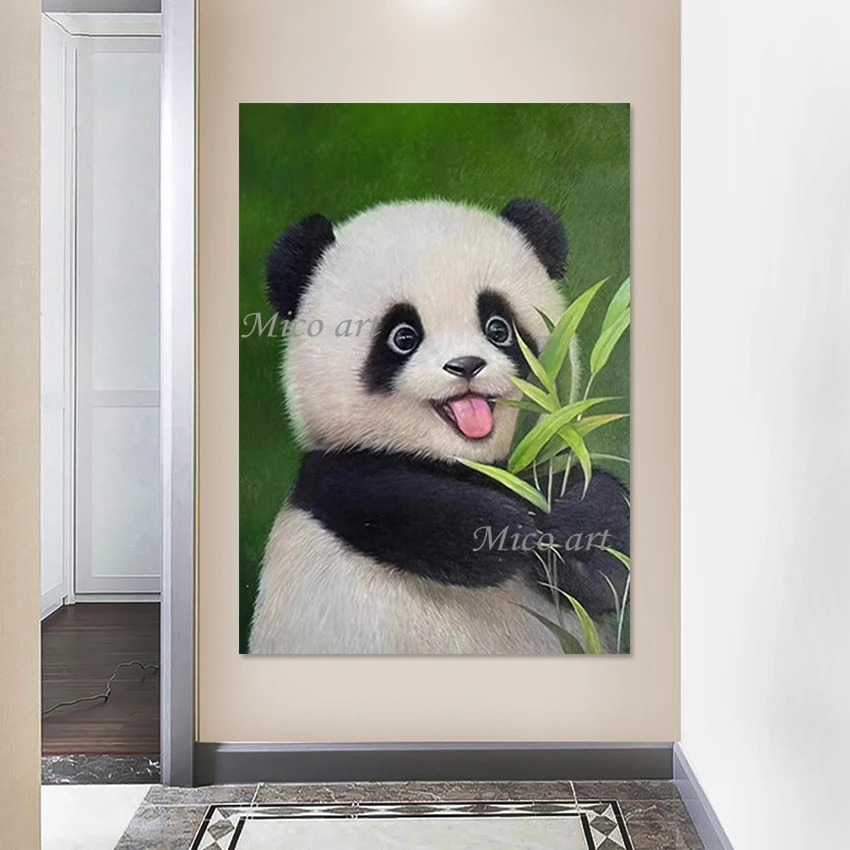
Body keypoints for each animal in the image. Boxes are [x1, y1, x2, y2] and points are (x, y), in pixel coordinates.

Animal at [248, 198, 629, 655]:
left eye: (498, 327)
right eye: (403, 336)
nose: (465, 365)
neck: (465, 466)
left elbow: (609, 559)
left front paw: (572, 522)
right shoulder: (340, 483)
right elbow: (396, 506)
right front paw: (504, 528)